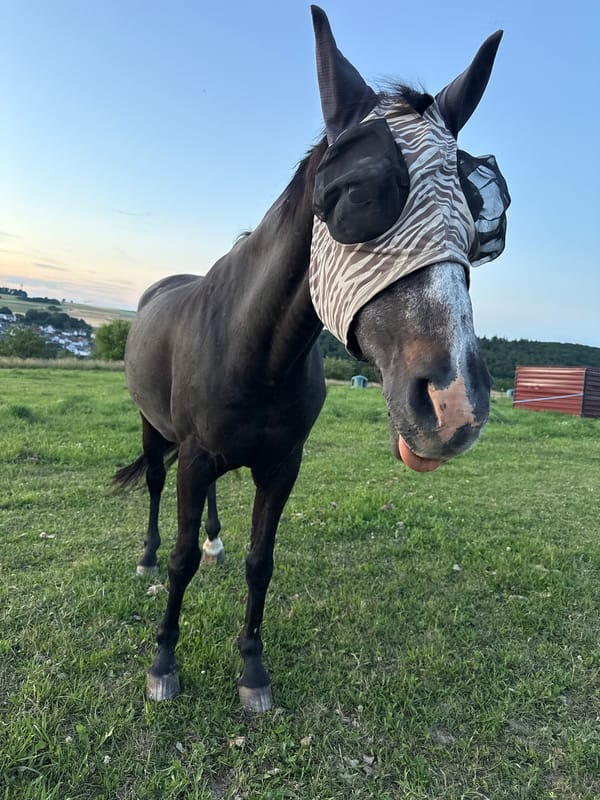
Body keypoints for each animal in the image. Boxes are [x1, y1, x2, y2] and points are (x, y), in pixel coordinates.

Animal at [115, 5, 509, 712]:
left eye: (478, 217)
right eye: (354, 193)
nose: (453, 405)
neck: (255, 352)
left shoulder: (282, 465)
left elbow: (260, 561)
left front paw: (252, 668)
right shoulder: (195, 453)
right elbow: (183, 561)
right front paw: (164, 660)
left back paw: (215, 538)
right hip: (154, 430)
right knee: (159, 488)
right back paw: (149, 554)